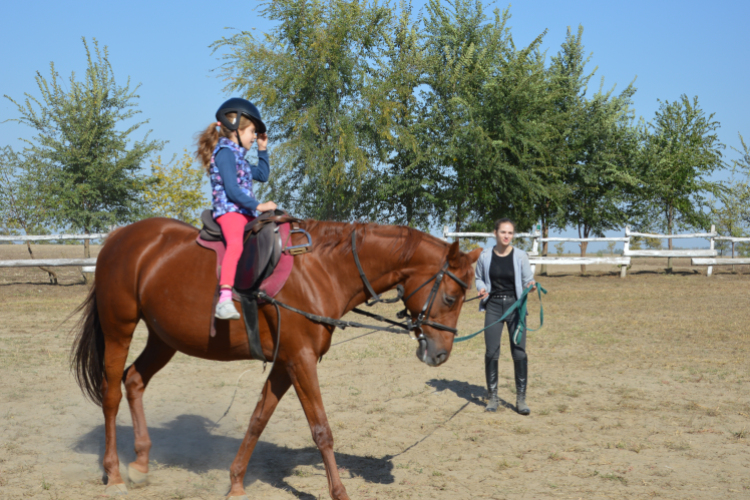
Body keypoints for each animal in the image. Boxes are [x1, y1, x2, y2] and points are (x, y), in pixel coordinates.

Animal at [70, 218, 482, 500]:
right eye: (450, 297)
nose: (440, 354)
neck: (322, 270)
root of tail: (119, 238)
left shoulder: (285, 364)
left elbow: (258, 419)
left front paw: (236, 482)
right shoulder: (301, 360)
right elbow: (321, 431)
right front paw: (339, 492)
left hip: (163, 338)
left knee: (134, 380)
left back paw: (140, 463)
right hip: (119, 328)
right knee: (111, 394)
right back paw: (114, 473)